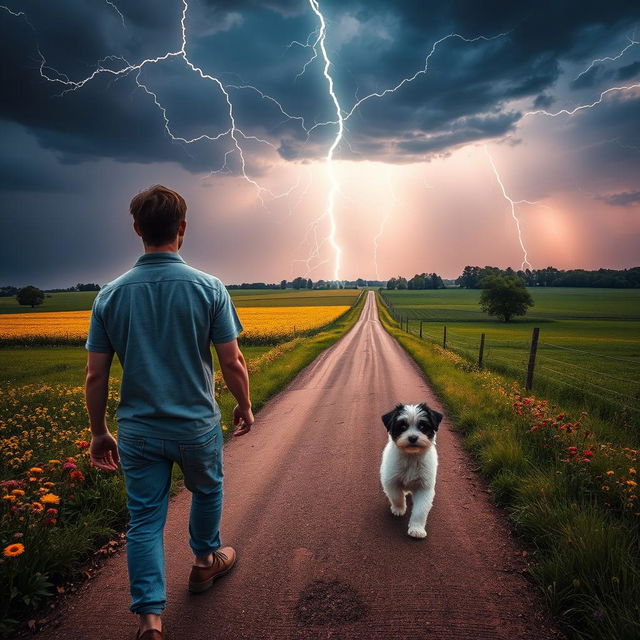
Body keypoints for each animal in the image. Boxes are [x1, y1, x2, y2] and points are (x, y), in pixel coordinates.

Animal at [378, 402, 442, 536]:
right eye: (402, 426)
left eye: (422, 426)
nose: (412, 438)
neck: (411, 457)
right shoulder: (391, 481)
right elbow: (396, 496)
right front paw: (399, 509)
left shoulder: (424, 488)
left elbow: (420, 510)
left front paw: (417, 529)